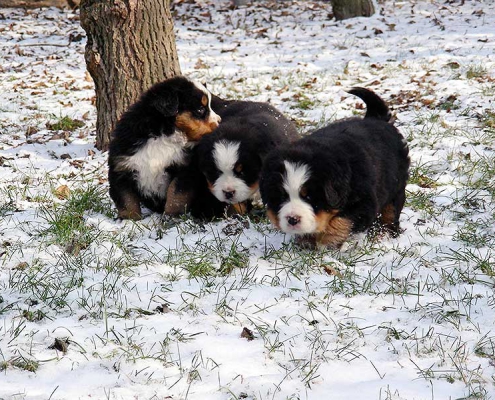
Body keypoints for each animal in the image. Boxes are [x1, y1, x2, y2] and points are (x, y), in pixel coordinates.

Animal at [108, 76, 221, 220]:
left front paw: (171, 216)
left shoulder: (184, 168)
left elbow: (176, 194)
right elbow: (126, 198)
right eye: (200, 109)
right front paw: (129, 220)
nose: (220, 121)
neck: (162, 135)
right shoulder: (121, 167)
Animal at [260, 89, 410, 248]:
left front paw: (327, 241)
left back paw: (385, 233)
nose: (292, 219)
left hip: (396, 186)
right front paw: (305, 241)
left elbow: (342, 221)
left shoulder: (364, 201)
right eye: (282, 196)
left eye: (308, 196)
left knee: (391, 211)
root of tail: (376, 118)